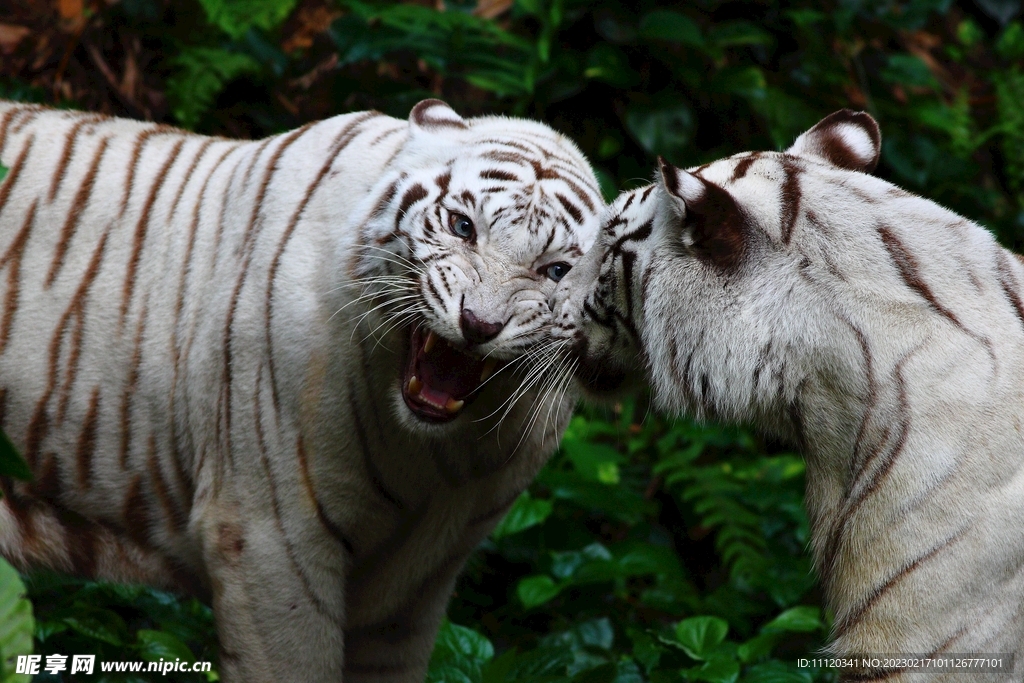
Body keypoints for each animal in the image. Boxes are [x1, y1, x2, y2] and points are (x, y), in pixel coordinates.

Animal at [0, 101, 602, 683]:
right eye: (462, 225)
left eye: (556, 271)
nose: (479, 324)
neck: (437, 456)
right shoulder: (271, 537)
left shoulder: (414, 588)